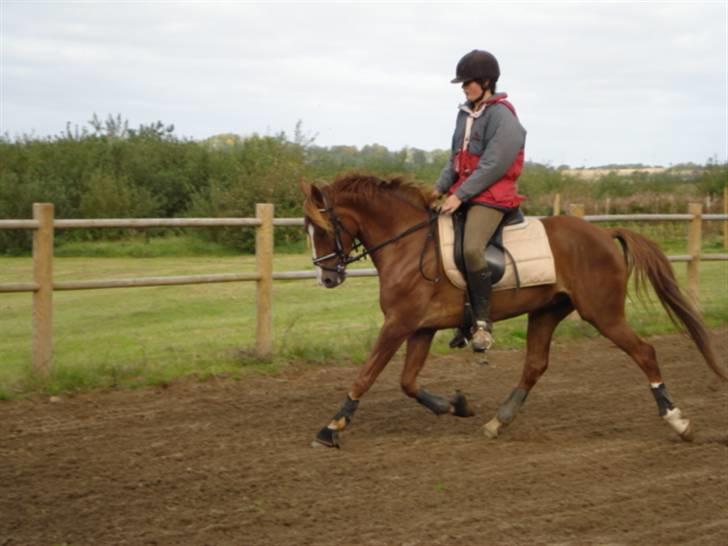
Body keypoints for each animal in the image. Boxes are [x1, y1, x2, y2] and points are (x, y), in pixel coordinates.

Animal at [298, 173, 724, 446]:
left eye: (324, 228)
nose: (326, 278)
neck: (408, 244)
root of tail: (604, 232)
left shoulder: (399, 324)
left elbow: (367, 374)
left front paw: (331, 428)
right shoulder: (419, 327)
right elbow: (407, 382)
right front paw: (456, 404)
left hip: (602, 314)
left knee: (645, 352)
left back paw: (679, 422)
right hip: (547, 311)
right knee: (535, 365)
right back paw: (496, 423)